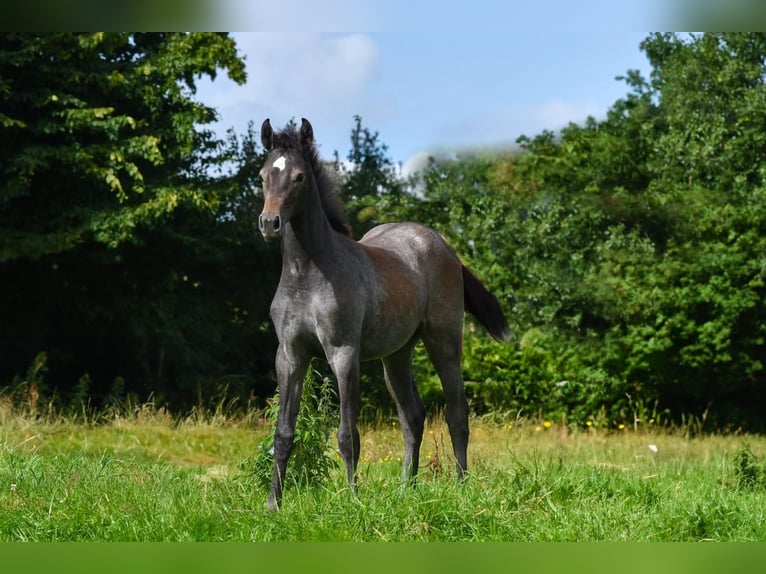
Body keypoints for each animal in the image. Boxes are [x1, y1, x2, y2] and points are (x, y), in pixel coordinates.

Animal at [258, 118, 511, 509]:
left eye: (299, 176)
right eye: (263, 174)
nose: (269, 223)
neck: (308, 273)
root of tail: (445, 247)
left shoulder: (344, 354)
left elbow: (348, 434)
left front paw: (353, 500)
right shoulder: (289, 356)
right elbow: (283, 433)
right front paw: (273, 504)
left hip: (444, 342)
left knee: (457, 413)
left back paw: (461, 487)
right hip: (396, 356)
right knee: (413, 416)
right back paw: (408, 487)